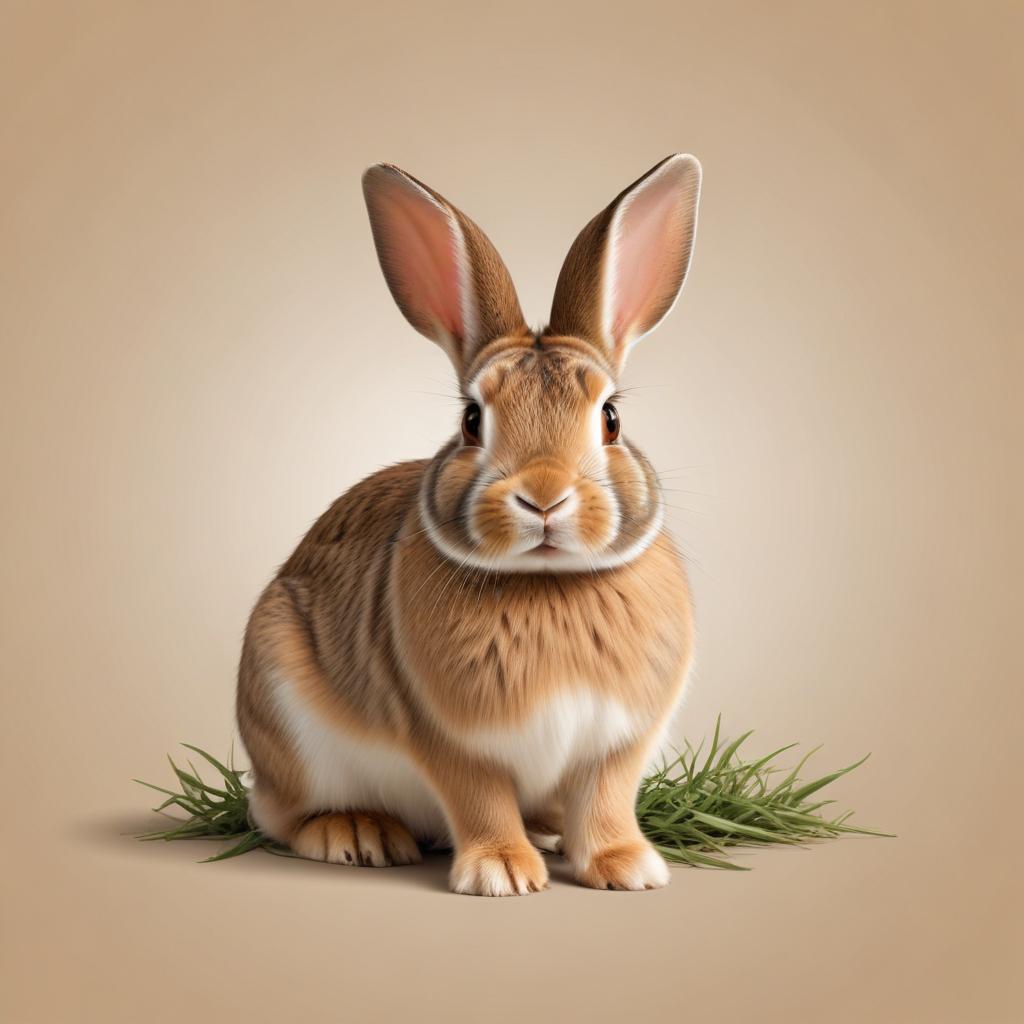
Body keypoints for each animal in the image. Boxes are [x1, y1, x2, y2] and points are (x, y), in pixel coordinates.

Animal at [237, 153, 701, 895]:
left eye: (611, 418)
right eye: (471, 421)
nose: (544, 497)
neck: (548, 584)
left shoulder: (617, 743)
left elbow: (605, 798)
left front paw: (627, 867)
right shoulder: (450, 739)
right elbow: (479, 797)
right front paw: (501, 873)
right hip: (285, 708)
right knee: (285, 818)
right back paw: (357, 834)